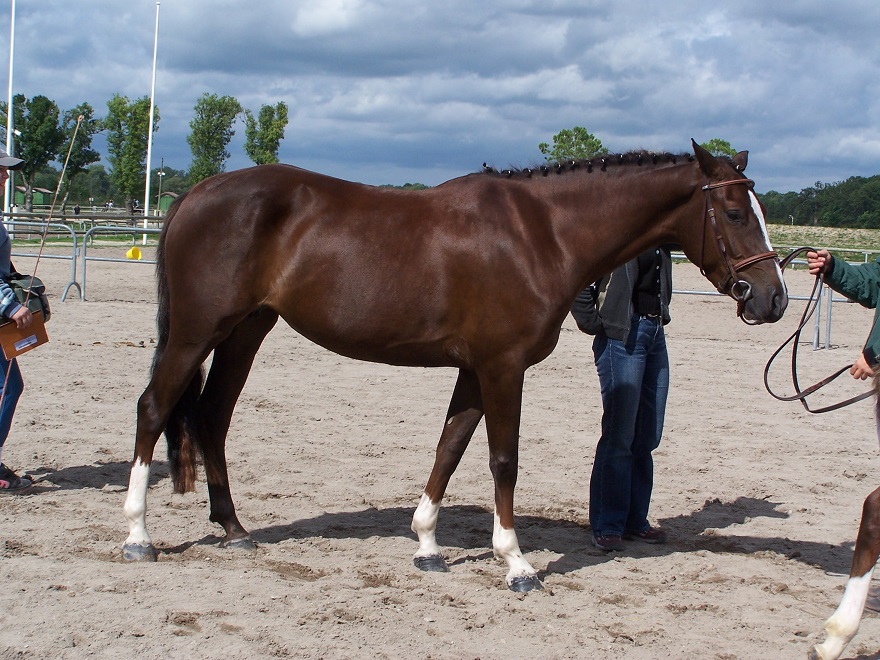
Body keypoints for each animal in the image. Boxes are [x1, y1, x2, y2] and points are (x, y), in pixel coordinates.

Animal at [120, 141, 788, 592]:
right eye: (734, 213)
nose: (773, 299)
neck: (541, 233)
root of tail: (197, 193)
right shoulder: (503, 368)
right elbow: (502, 460)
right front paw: (516, 562)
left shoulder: (474, 371)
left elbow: (449, 447)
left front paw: (426, 545)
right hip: (195, 335)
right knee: (153, 408)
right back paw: (138, 537)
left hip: (245, 331)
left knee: (212, 417)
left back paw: (235, 530)